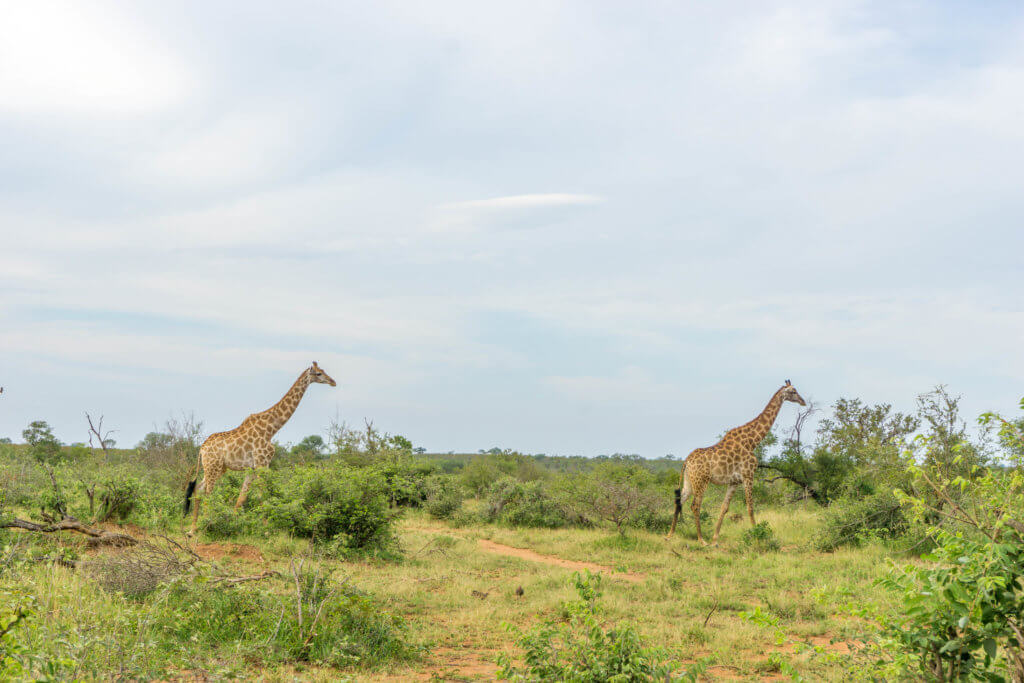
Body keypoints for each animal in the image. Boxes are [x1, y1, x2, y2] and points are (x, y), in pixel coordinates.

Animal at [184, 360, 335, 536]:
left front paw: (234, 524)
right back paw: (206, 525)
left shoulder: (253, 467)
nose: (333, 382)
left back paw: (193, 529)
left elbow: (242, 498)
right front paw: (266, 530)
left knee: (199, 489)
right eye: (318, 373)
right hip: (212, 466)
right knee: (208, 492)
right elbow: (263, 495)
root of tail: (201, 449)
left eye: (323, 370)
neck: (271, 429)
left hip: (218, 467)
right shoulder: (263, 463)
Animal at [663, 378, 806, 544]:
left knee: (679, 502)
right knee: (695, 506)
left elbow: (724, 507)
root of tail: (686, 461)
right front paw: (757, 535)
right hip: (701, 481)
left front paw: (715, 538)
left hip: (689, 482)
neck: (752, 441)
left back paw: (670, 535)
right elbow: (750, 507)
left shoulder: (734, 481)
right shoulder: (748, 475)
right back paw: (701, 539)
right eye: (793, 391)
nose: (803, 401)